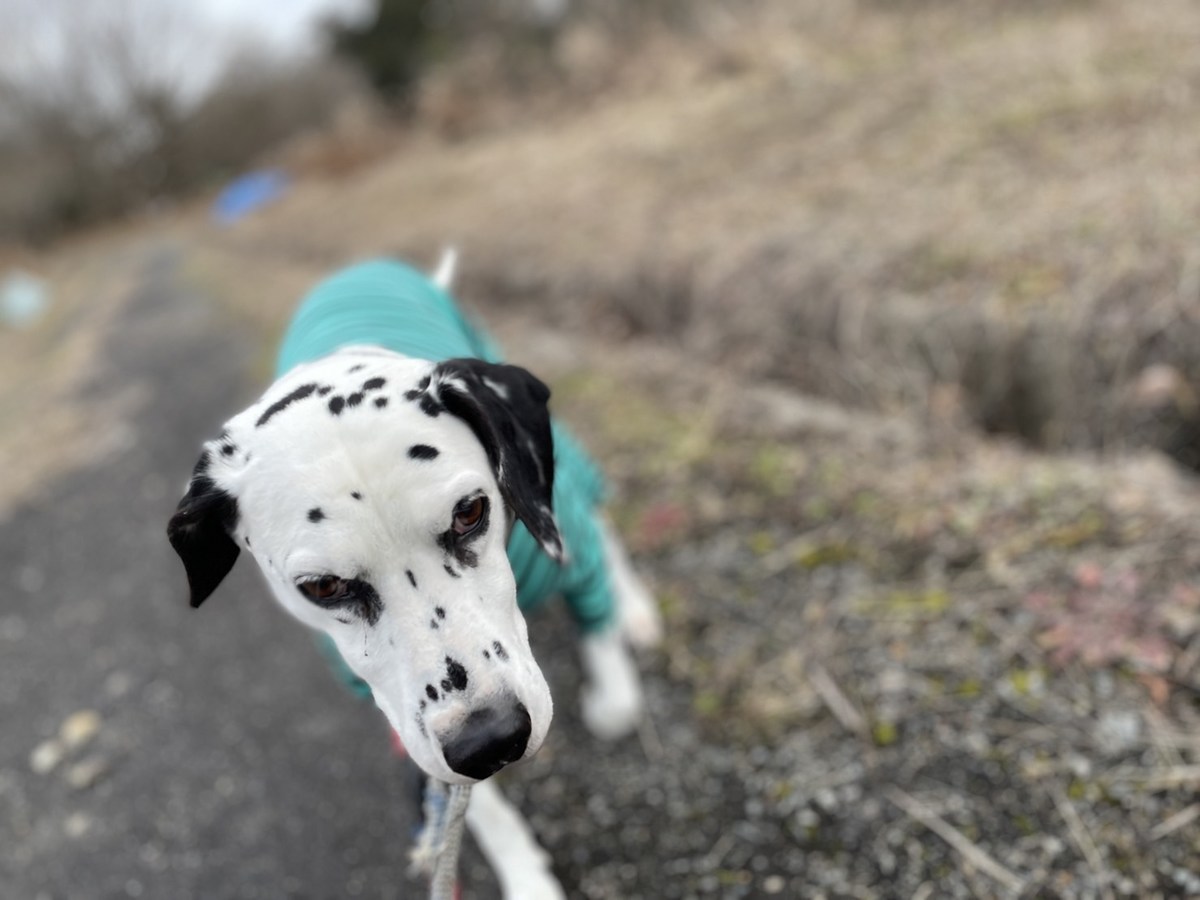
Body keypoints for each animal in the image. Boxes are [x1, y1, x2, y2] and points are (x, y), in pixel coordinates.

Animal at [165, 254, 662, 900]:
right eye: (323, 587)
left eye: (470, 512)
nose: (492, 739)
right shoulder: (411, 723)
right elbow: (476, 804)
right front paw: (525, 876)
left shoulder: (561, 549)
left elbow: (607, 664)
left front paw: (612, 684)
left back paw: (634, 608)